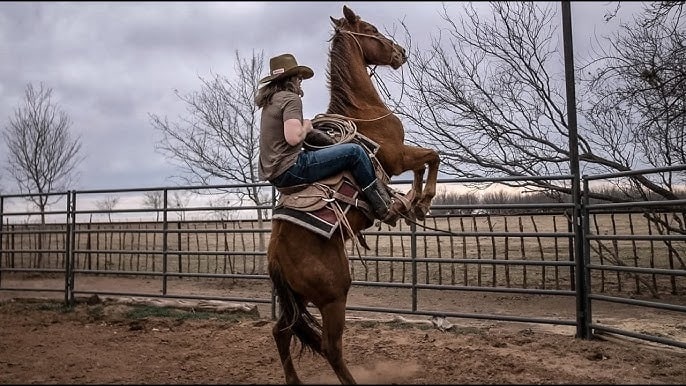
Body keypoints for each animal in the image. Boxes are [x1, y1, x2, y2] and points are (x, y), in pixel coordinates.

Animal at [268, 4, 440, 384]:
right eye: (371, 29)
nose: (400, 52)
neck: (361, 110)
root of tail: (274, 257)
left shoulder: (400, 158)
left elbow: (422, 166)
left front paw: (412, 203)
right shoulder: (396, 155)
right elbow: (432, 156)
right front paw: (421, 201)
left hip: (298, 298)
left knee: (281, 331)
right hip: (333, 297)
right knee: (330, 347)